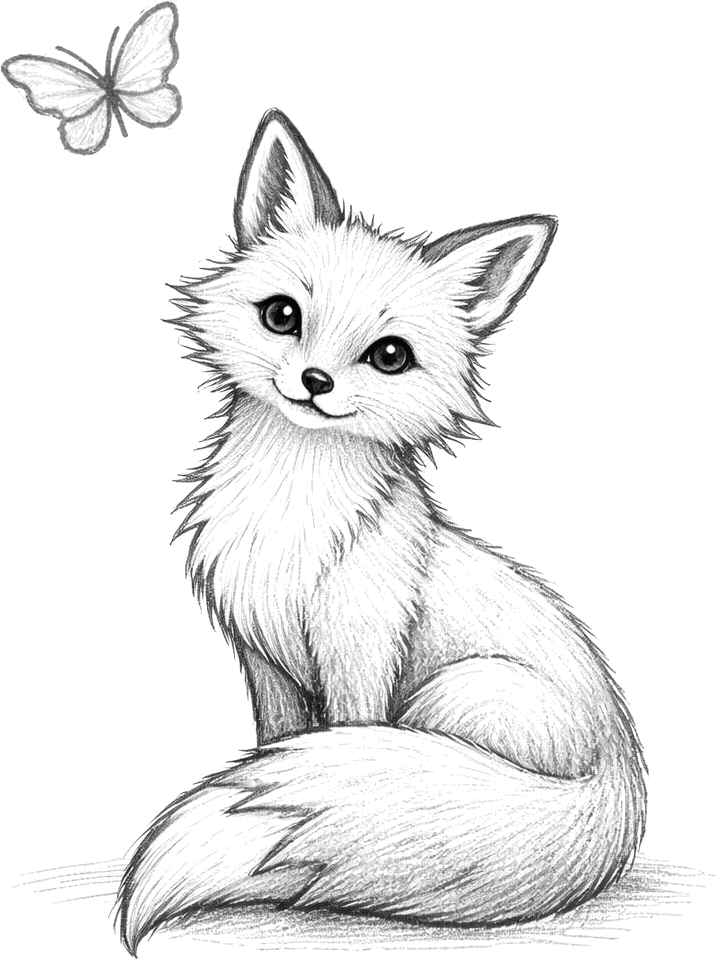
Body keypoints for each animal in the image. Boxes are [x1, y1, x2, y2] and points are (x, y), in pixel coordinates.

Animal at [115, 108, 647, 954]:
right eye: (282, 314)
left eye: (390, 354)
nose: (315, 381)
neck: (290, 530)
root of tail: (622, 788)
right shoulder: (265, 659)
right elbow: (277, 741)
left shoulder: (358, 645)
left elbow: (343, 731)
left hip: (458, 694)